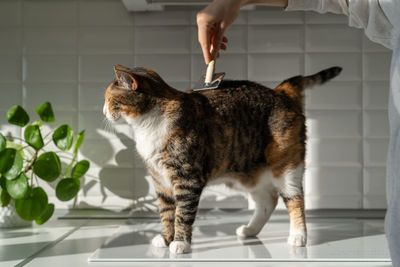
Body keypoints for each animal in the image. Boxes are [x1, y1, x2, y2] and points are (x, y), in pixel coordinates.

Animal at [102, 63, 340, 254]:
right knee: (267, 201)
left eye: (110, 99)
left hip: (286, 165)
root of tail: (280, 91)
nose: (103, 112)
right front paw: (165, 238)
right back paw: (250, 230)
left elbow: (182, 213)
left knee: (295, 199)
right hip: (249, 173)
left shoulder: (187, 178)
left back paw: (298, 236)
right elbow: (167, 213)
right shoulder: (161, 181)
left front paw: (180, 243)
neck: (147, 126)